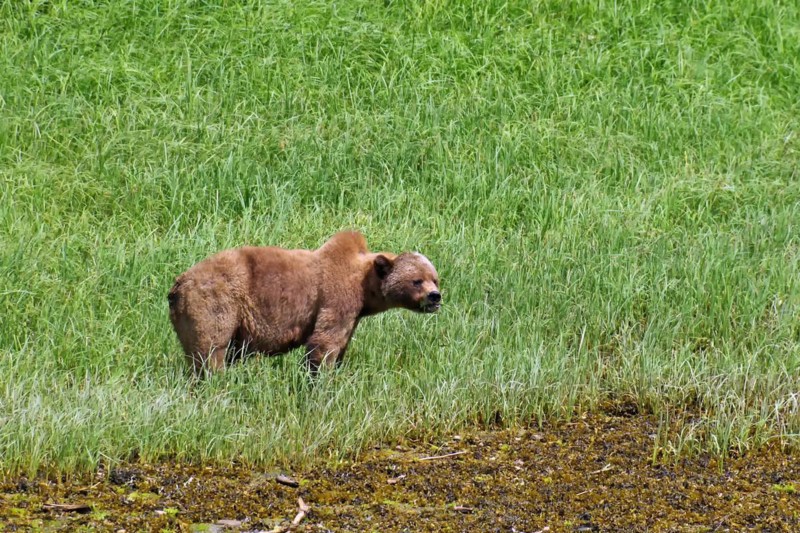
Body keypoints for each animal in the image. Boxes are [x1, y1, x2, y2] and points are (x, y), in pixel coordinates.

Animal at [167, 231, 441, 375]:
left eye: (435, 278)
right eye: (417, 281)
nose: (435, 297)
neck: (364, 290)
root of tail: (177, 285)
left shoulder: (353, 315)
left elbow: (340, 343)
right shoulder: (336, 299)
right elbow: (324, 342)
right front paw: (320, 379)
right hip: (217, 301)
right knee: (211, 349)